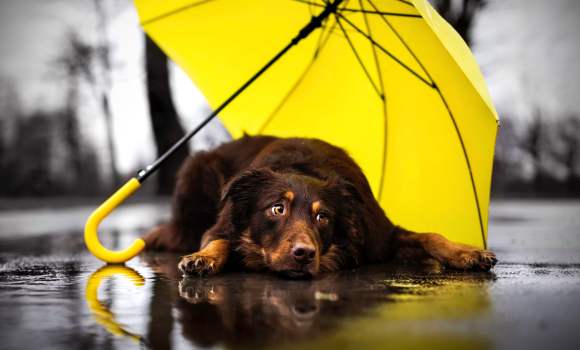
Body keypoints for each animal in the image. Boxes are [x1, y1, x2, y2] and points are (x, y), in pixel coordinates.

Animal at [143, 135, 496, 278]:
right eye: (277, 209)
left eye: (323, 216)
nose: (304, 254)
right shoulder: (222, 222)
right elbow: (219, 240)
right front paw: (205, 258)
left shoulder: (380, 234)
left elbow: (429, 236)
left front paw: (466, 252)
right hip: (199, 168)